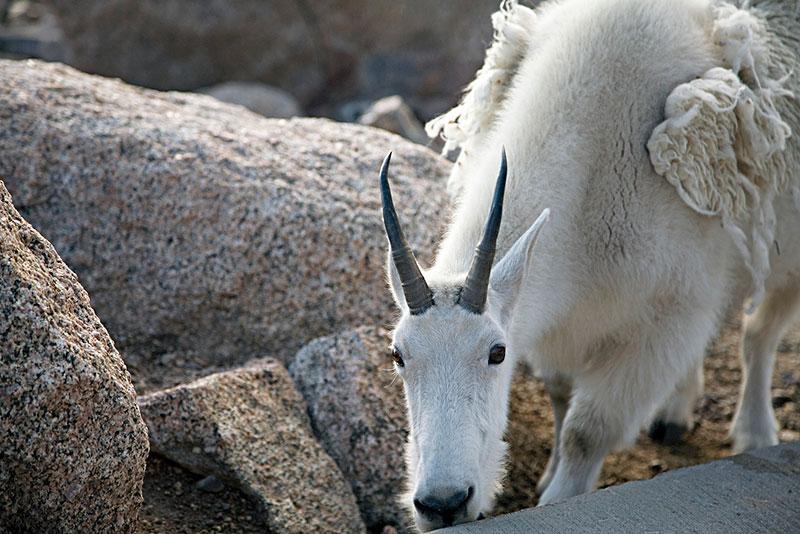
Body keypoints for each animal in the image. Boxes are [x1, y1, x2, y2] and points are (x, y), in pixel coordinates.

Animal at [380, 0, 800, 532]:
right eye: (398, 355)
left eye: (497, 352)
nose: (442, 503)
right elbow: (561, 394)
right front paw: (548, 472)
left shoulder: (664, 321)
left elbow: (586, 430)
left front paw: (556, 499)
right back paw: (675, 413)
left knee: (759, 335)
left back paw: (755, 432)